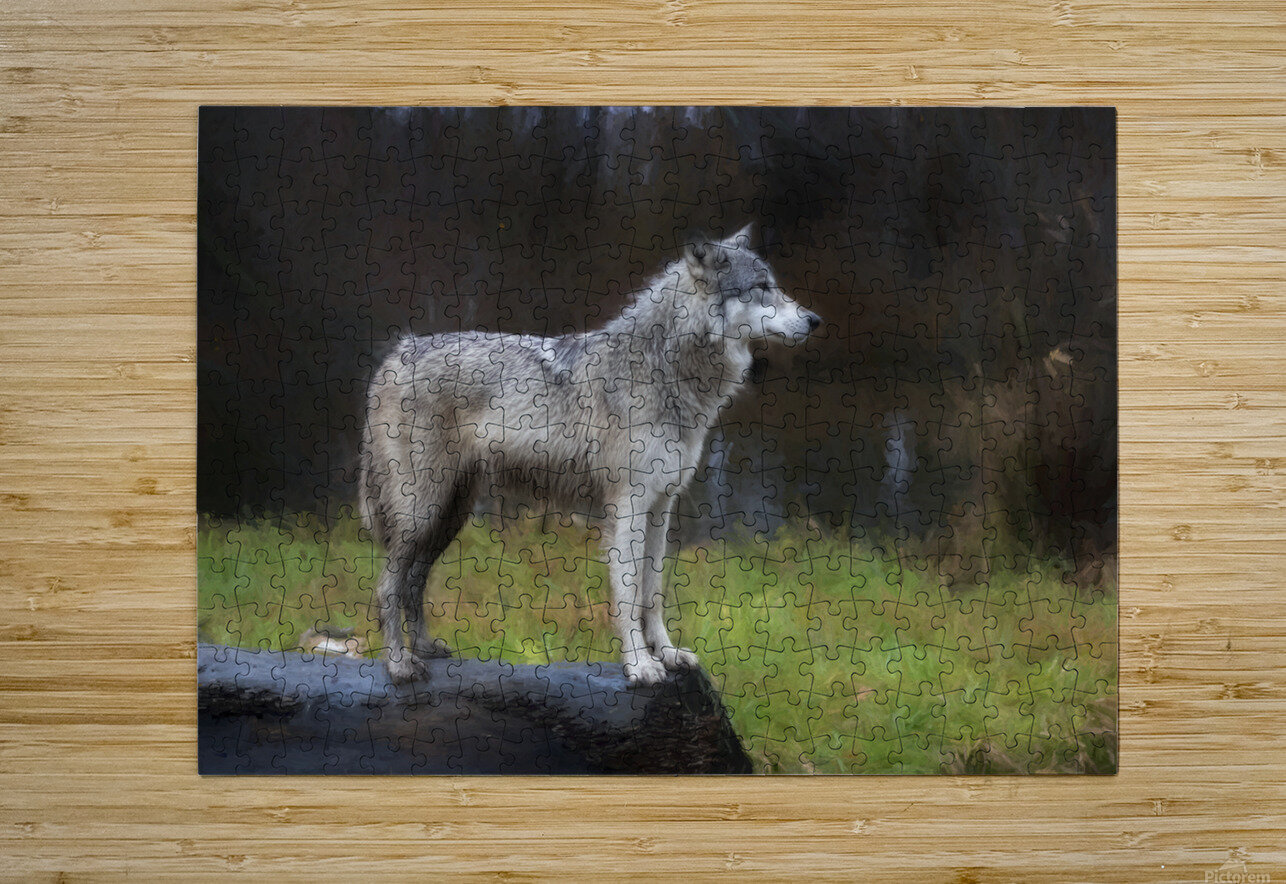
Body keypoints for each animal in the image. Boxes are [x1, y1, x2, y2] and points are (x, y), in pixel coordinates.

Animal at [359, 226, 821, 685]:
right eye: (761, 287)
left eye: (773, 285)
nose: (815, 320)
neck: (665, 370)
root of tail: (396, 354)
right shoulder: (629, 506)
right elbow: (629, 591)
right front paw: (639, 664)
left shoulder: (661, 506)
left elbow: (653, 590)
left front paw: (667, 653)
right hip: (422, 512)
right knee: (387, 586)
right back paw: (399, 664)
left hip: (449, 515)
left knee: (414, 581)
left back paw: (424, 648)